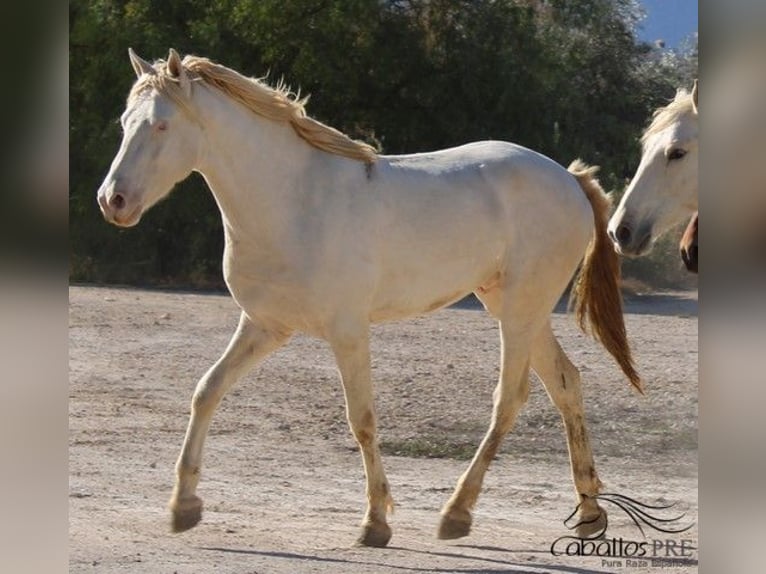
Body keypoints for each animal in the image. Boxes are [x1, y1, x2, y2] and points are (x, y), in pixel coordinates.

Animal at [97, 49, 640, 548]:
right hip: (513, 305)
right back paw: (589, 513)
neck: (294, 200)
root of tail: (570, 180)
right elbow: (207, 390)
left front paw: (375, 522)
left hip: (521, 311)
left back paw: (457, 514)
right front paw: (183, 506)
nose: (112, 201)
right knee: (566, 383)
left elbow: (361, 420)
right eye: (125, 123)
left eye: (162, 125)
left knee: (509, 398)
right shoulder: (264, 325)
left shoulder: (348, 332)